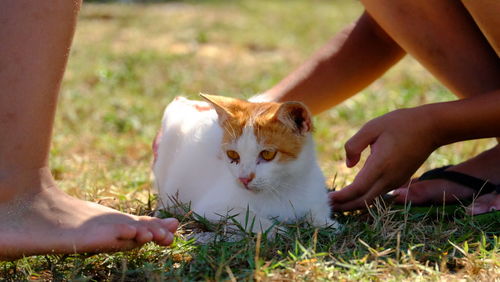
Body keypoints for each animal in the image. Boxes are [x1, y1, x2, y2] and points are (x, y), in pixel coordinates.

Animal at [154, 94, 338, 236]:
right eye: (233, 155)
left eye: (267, 154)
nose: (244, 179)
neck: (281, 189)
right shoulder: (208, 208)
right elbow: (246, 217)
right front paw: (275, 230)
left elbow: (317, 210)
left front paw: (324, 222)